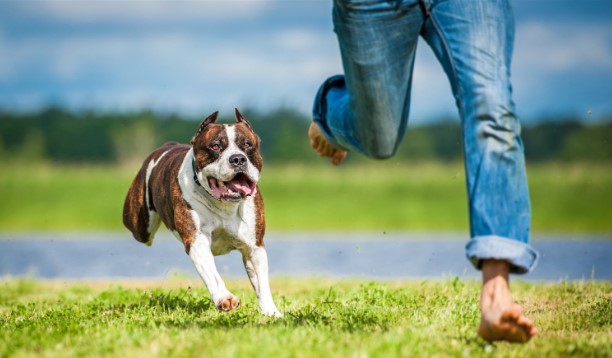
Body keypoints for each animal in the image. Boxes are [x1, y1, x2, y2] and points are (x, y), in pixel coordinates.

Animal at [122, 109, 284, 316]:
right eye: (215, 146)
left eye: (248, 145)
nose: (238, 158)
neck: (224, 205)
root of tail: (167, 146)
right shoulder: (197, 241)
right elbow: (213, 275)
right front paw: (225, 298)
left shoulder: (254, 247)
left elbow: (262, 283)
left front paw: (271, 312)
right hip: (141, 227)